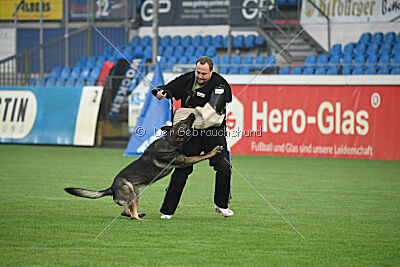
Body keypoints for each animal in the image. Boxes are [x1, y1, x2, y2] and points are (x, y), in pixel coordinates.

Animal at [64, 114, 223, 221]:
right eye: (184, 122)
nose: (192, 114)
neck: (169, 141)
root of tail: (111, 188)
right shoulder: (185, 160)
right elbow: (203, 155)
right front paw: (214, 151)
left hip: (135, 193)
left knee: (125, 211)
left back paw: (139, 214)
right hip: (131, 193)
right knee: (132, 216)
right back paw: (141, 218)